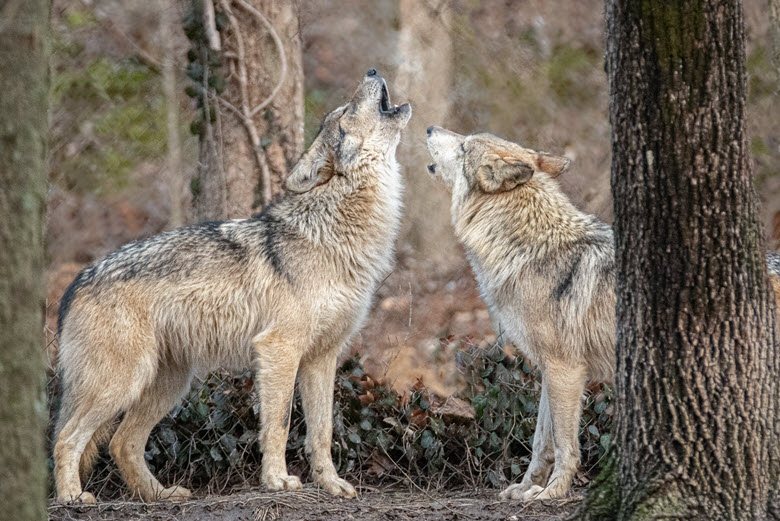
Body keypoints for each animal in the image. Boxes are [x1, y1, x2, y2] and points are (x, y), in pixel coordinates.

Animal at [53, 69, 411, 503]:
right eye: (344, 114)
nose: (372, 72)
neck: (337, 232)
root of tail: (76, 281)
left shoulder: (322, 358)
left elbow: (322, 431)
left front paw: (331, 483)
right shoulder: (279, 349)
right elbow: (279, 424)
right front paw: (277, 480)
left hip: (169, 384)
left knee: (122, 442)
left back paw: (160, 495)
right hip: (124, 382)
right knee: (67, 439)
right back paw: (72, 497)